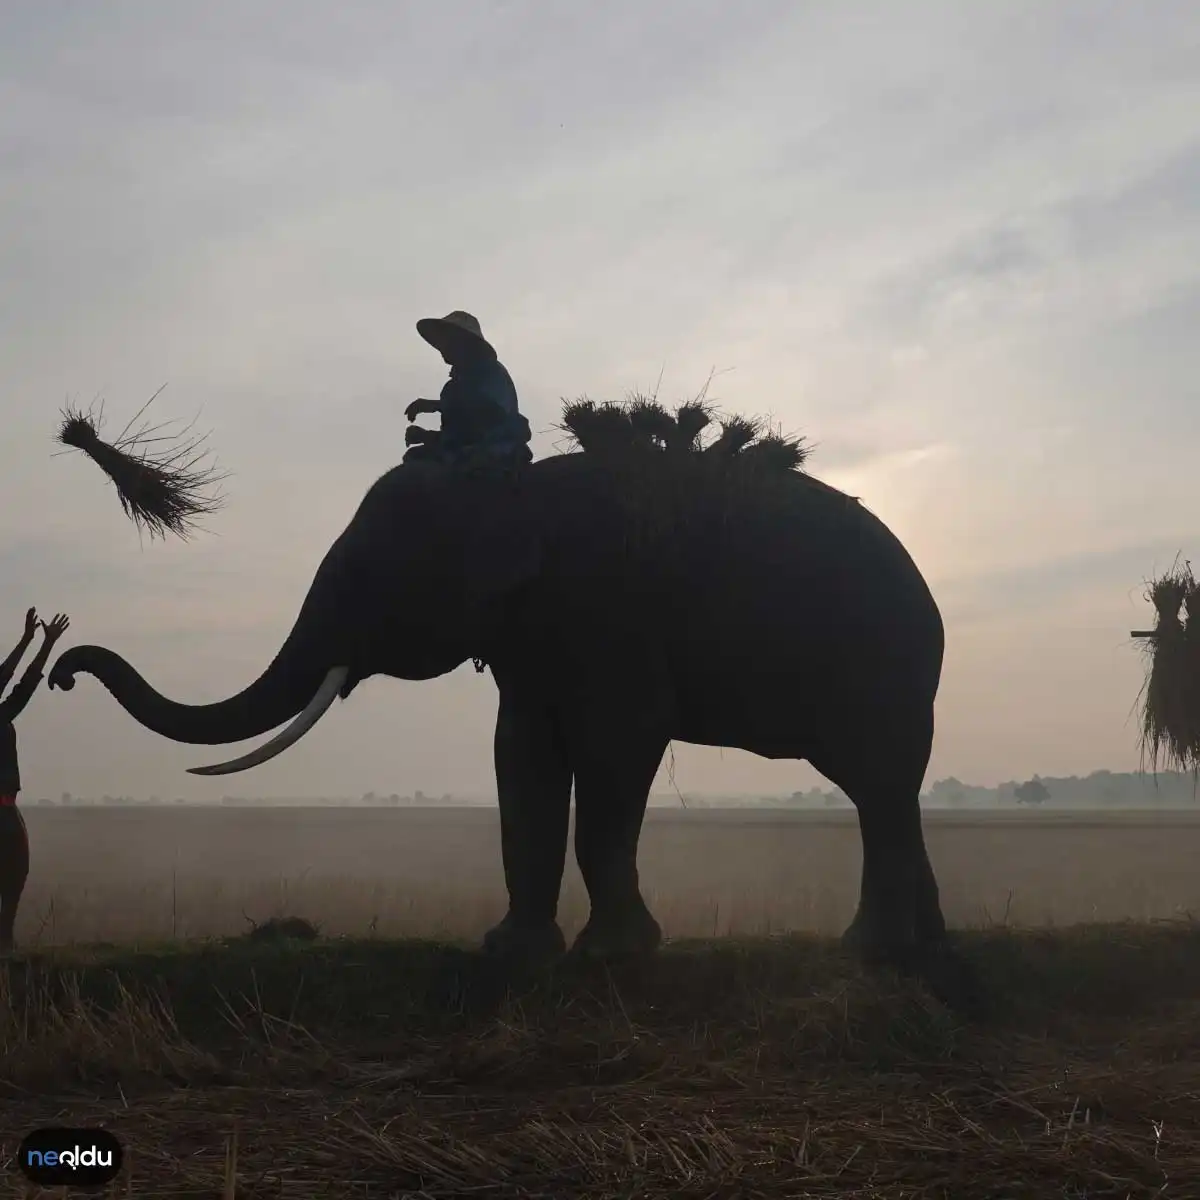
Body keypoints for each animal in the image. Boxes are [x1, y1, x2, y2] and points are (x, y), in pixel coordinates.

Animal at [46, 408, 979, 1008]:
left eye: (367, 578)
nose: (60, 671)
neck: (501, 489)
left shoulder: (608, 609)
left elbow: (615, 748)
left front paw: (610, 958)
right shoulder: (531, 636)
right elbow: (521, 753)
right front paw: (513, 957)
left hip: (885, 663)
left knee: (878, 783)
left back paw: (881, 950)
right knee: (881, 791)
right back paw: (916, 948)